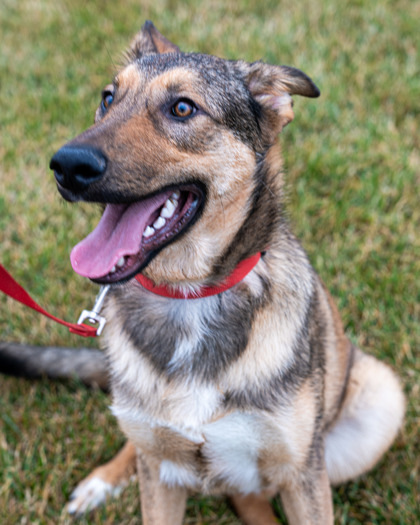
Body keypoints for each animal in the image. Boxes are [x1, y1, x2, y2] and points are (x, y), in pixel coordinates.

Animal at [45, 20, 406, 524]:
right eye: (108, 98)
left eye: (182, 108)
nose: (66, 165)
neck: (190, 296)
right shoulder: (160, 477)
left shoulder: (303, 475)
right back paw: (104, 480)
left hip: (377, 404)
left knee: (249, 493)